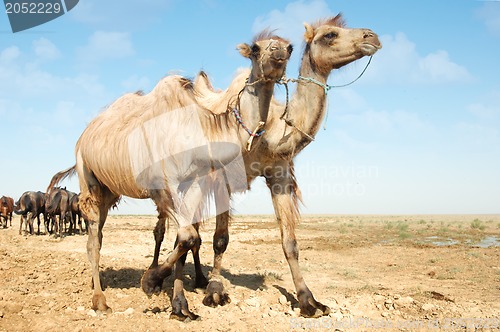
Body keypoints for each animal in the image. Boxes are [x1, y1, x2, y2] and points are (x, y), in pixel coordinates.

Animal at [47, 31, 292, 320]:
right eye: (255, 48)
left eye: (291, 47)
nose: (280, 51)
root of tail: (85, 134)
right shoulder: (164, 186)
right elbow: (186, 236)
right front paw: (150, 282)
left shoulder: (194, 183)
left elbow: (187, 238)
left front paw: (179, 305)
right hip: (87, 174)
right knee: (93, 238)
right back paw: (100, 301)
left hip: (109, 190)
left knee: (97, 235)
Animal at [192, 14, 382, 318]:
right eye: (329, 35)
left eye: (291, 47)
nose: (372, 36)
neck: (267, 130)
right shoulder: (224, 175)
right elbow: (221, 239)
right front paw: (215, 291)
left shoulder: (279, 174)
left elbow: (290, 243)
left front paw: (309, 301)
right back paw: (193, 279)